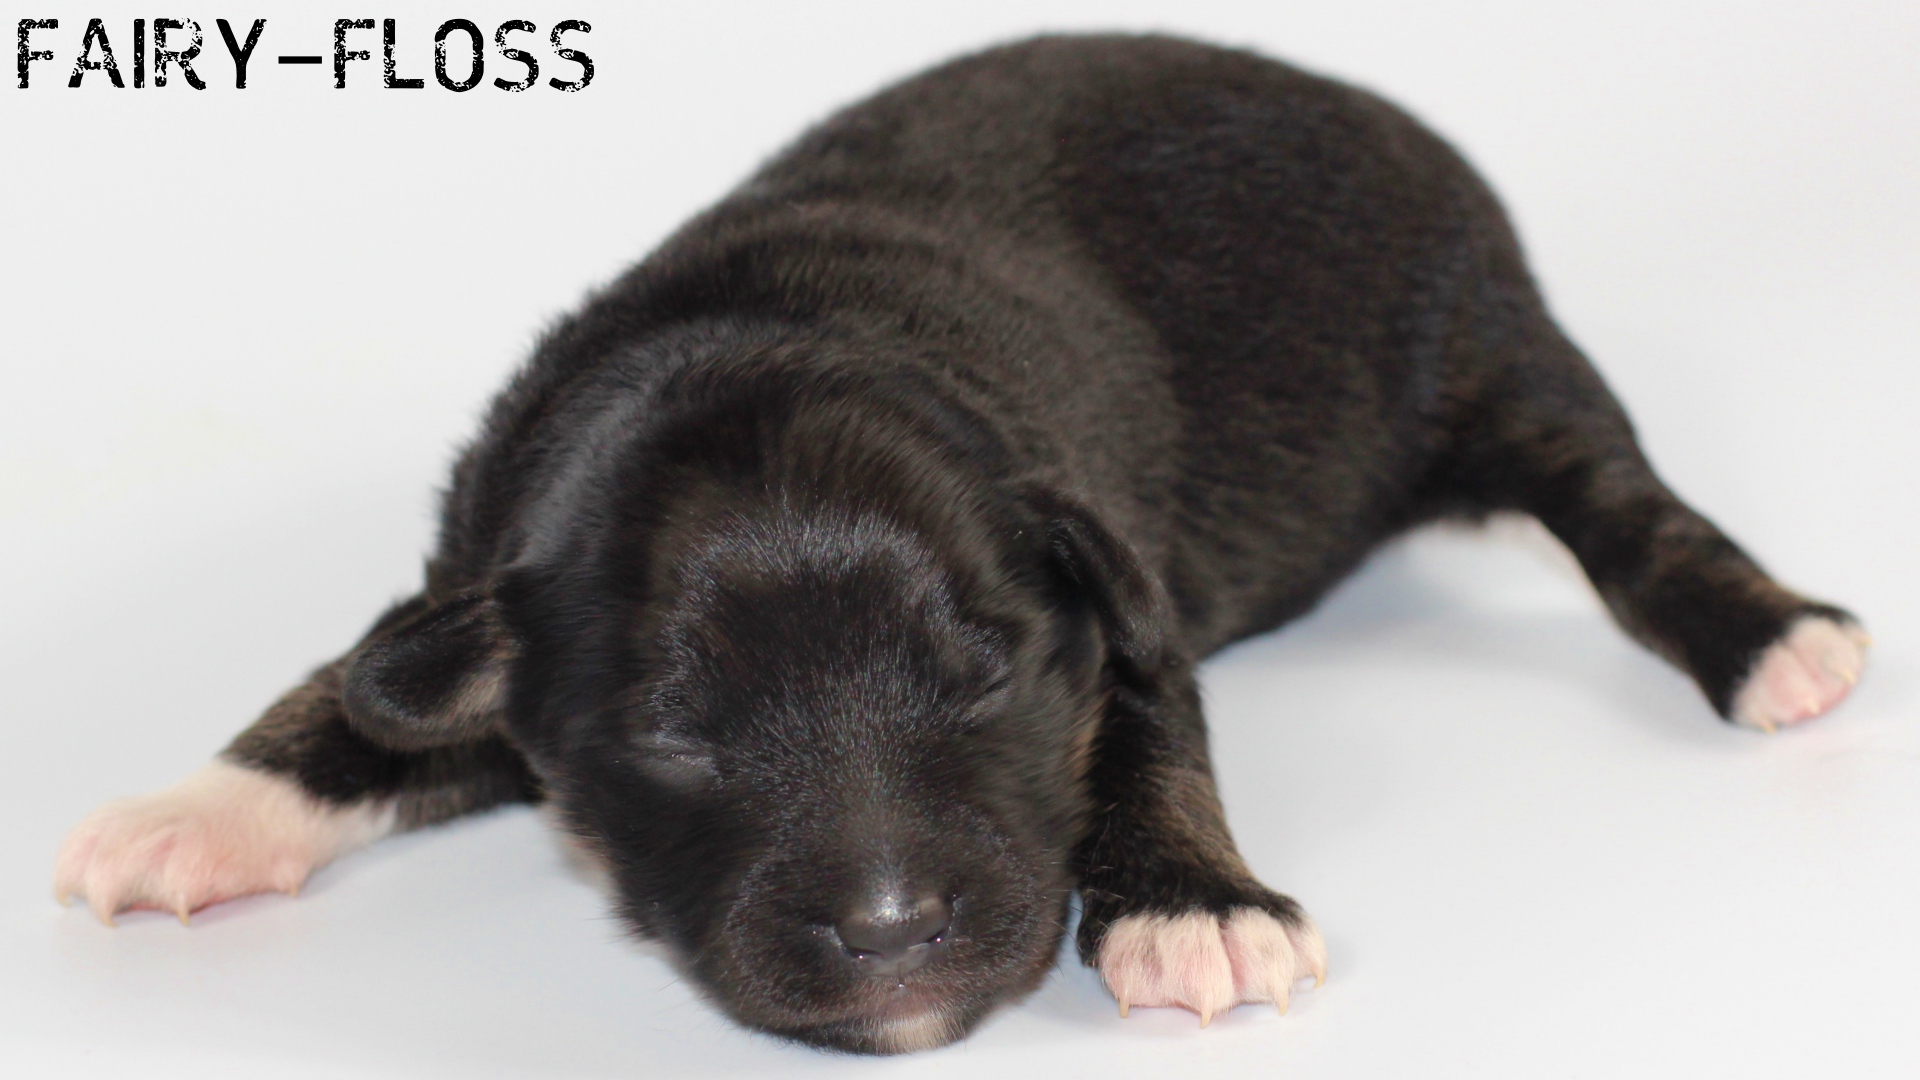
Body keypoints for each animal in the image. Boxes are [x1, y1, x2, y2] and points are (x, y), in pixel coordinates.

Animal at [53, 34, 1868, 1054]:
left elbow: (1144, 745)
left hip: (1492, 344)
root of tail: (1334, 89)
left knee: (1621, 507)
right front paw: (189, 814)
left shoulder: (1104, 590)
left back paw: (1778, 641)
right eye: (675, 733)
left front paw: (1193, 906)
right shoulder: (482, 580)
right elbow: (358, 700)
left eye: (981, 674)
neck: (768, 328)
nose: (889, 930)